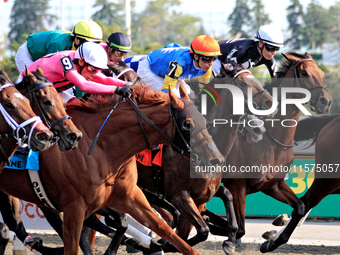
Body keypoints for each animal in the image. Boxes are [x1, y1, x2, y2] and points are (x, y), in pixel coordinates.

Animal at [0, 84, 220, 255]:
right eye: (187, 124)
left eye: (204, 120)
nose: (216, 159)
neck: (102, 147)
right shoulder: (74, 208)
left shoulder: (129, 196)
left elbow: (165, 230)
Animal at [215, 50, 332, 253]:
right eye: (304, 73)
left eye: (321, 73)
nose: (326, 101)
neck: (272, 139)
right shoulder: (237, 186)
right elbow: (240, 227)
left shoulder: (272, 185)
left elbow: (300, 207)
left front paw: (271, 238)